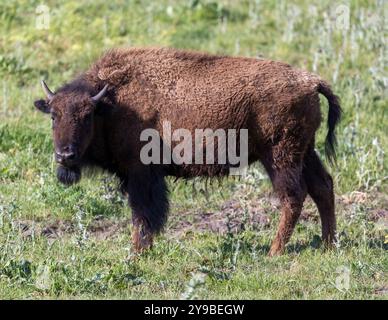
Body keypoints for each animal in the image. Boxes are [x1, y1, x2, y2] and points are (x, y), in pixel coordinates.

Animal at [34, 47, 342, 256]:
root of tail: (311, 81)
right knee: (323, 186)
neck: (111, 103)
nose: (65, 156)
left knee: (294, 196)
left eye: (87, 117)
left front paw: (138, 253)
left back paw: (274, 251)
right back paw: (328, 244)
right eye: (54, 116)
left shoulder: (141, 175)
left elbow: (143, 214)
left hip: (280, 156)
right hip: (305, 152)